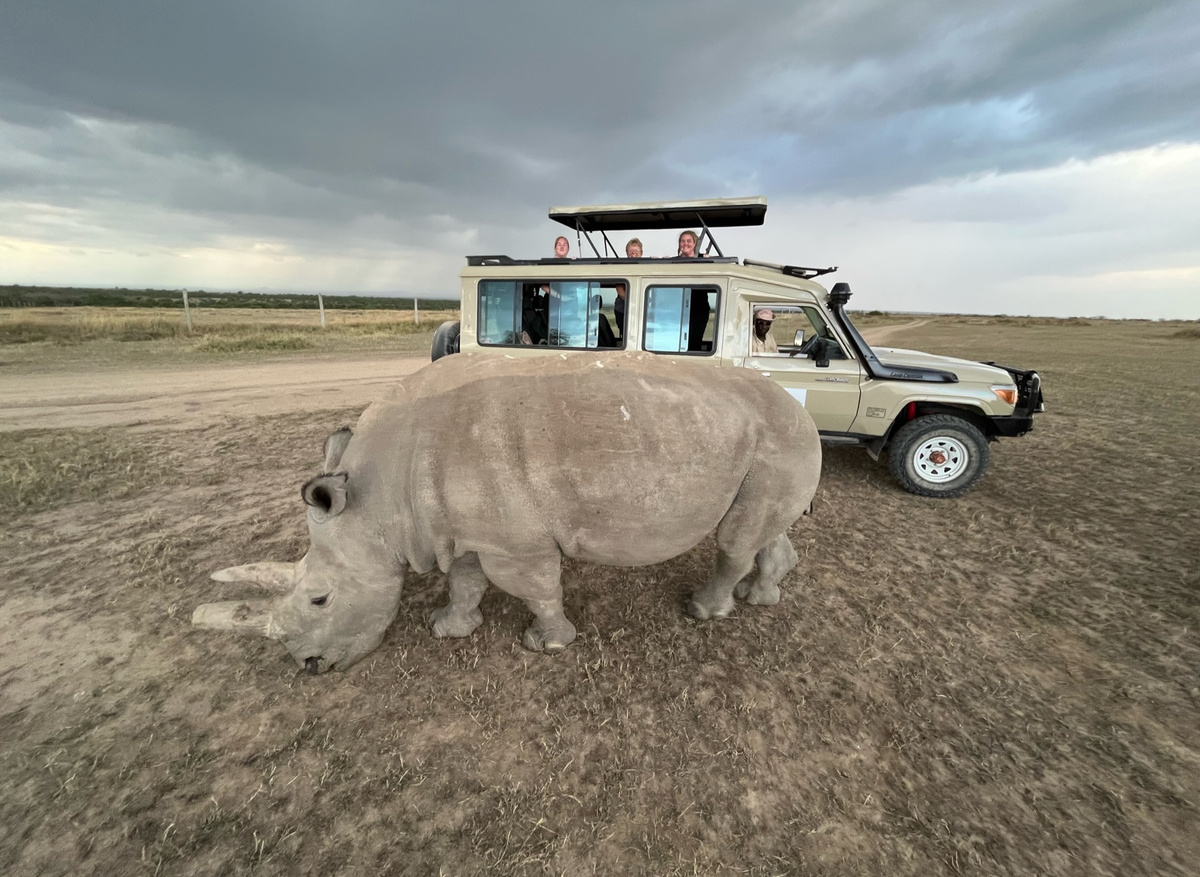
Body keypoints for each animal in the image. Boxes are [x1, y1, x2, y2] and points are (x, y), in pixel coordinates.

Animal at [193, 351, 821, 673]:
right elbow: (466, 581)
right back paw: (762, 595)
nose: (308, 666)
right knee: (763, 527)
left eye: (321, 599)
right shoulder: (463, 528)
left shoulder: (514, 542)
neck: (377, 499)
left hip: (776, 436)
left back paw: (703, 611)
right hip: (768, 441)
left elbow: (536, 587)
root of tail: (800, 405)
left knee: (734, 539)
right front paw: (448, 629)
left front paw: (547, 646)